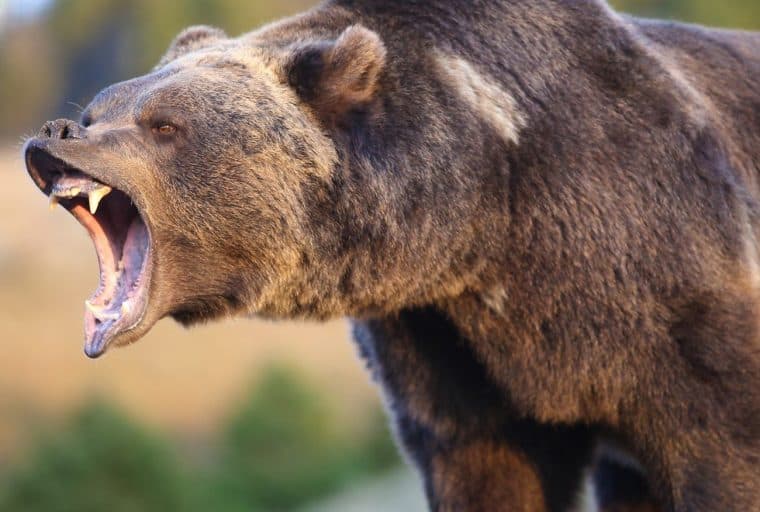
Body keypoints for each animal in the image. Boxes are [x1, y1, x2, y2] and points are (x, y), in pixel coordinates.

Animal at [22, 0, 760, 510]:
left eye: (164, 125)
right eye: (95, 112)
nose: (55, 133)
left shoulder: (670, 292)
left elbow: (720, 447)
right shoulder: (445, 347)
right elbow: (484, 465)